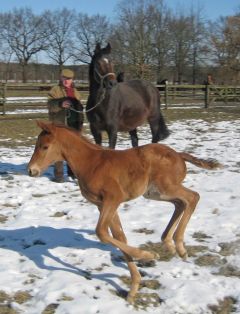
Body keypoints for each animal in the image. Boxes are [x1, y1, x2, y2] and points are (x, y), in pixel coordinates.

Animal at [27, 121, 222, 302]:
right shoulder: (103, 205)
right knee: (180, 204)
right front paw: (134, 288)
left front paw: (148, 255)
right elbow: (119, 237)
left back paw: (179, 246)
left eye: (44, 146)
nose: (31, 170)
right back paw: (169, 243)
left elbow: (102, 233)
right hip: (155, 193)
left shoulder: (113, 198)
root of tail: (178, 155)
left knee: (193, 197)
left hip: (165, 187)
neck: (91, 163)